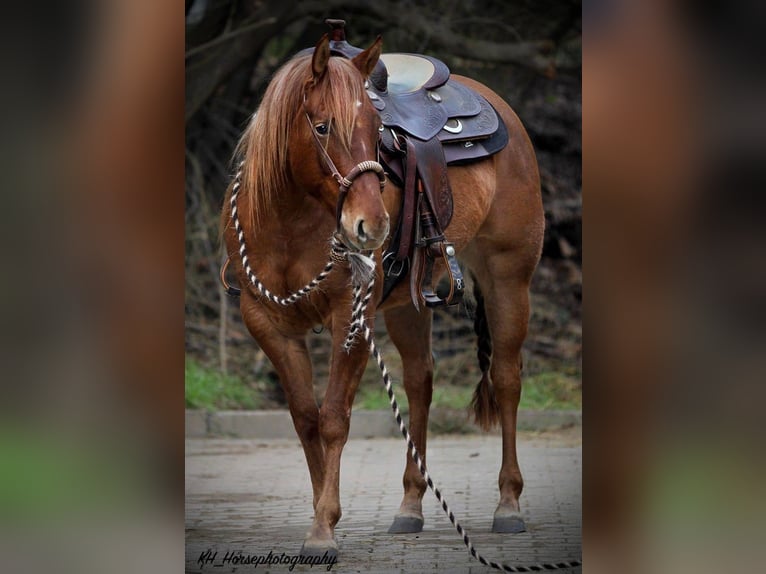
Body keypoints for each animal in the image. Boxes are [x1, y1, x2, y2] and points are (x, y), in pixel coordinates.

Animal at [221, 33, 544, 559]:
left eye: (377, 130)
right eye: (322, 126)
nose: (371, 226)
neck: (289, 222)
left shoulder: (351, 317)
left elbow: (334, 418)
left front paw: (323, 528)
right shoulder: (266, 324)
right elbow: (306, 419)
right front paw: (322, 516)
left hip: (508, 279)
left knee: (507, 379)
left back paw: (508, 504)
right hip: (409, 305)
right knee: (420, 384)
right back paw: (410, 505)